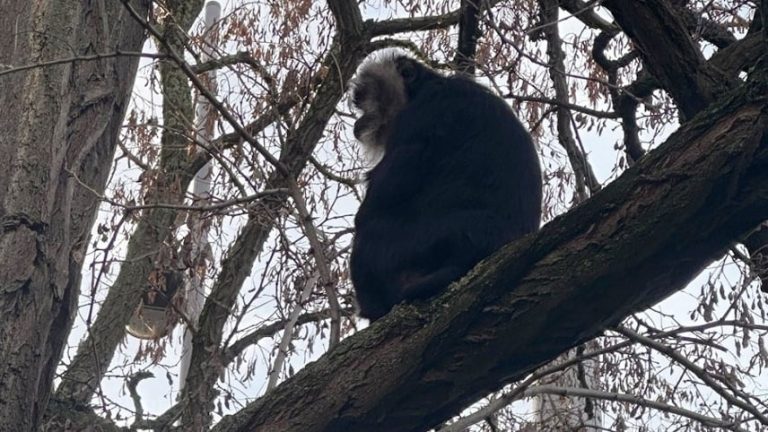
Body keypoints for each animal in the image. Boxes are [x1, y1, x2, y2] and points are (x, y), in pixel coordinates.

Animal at [348, 54, 540, 320]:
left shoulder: (424, 112)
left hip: (426, 242)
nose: (359, 120)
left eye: (363, 97)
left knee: (367, 238)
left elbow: (380, 198)